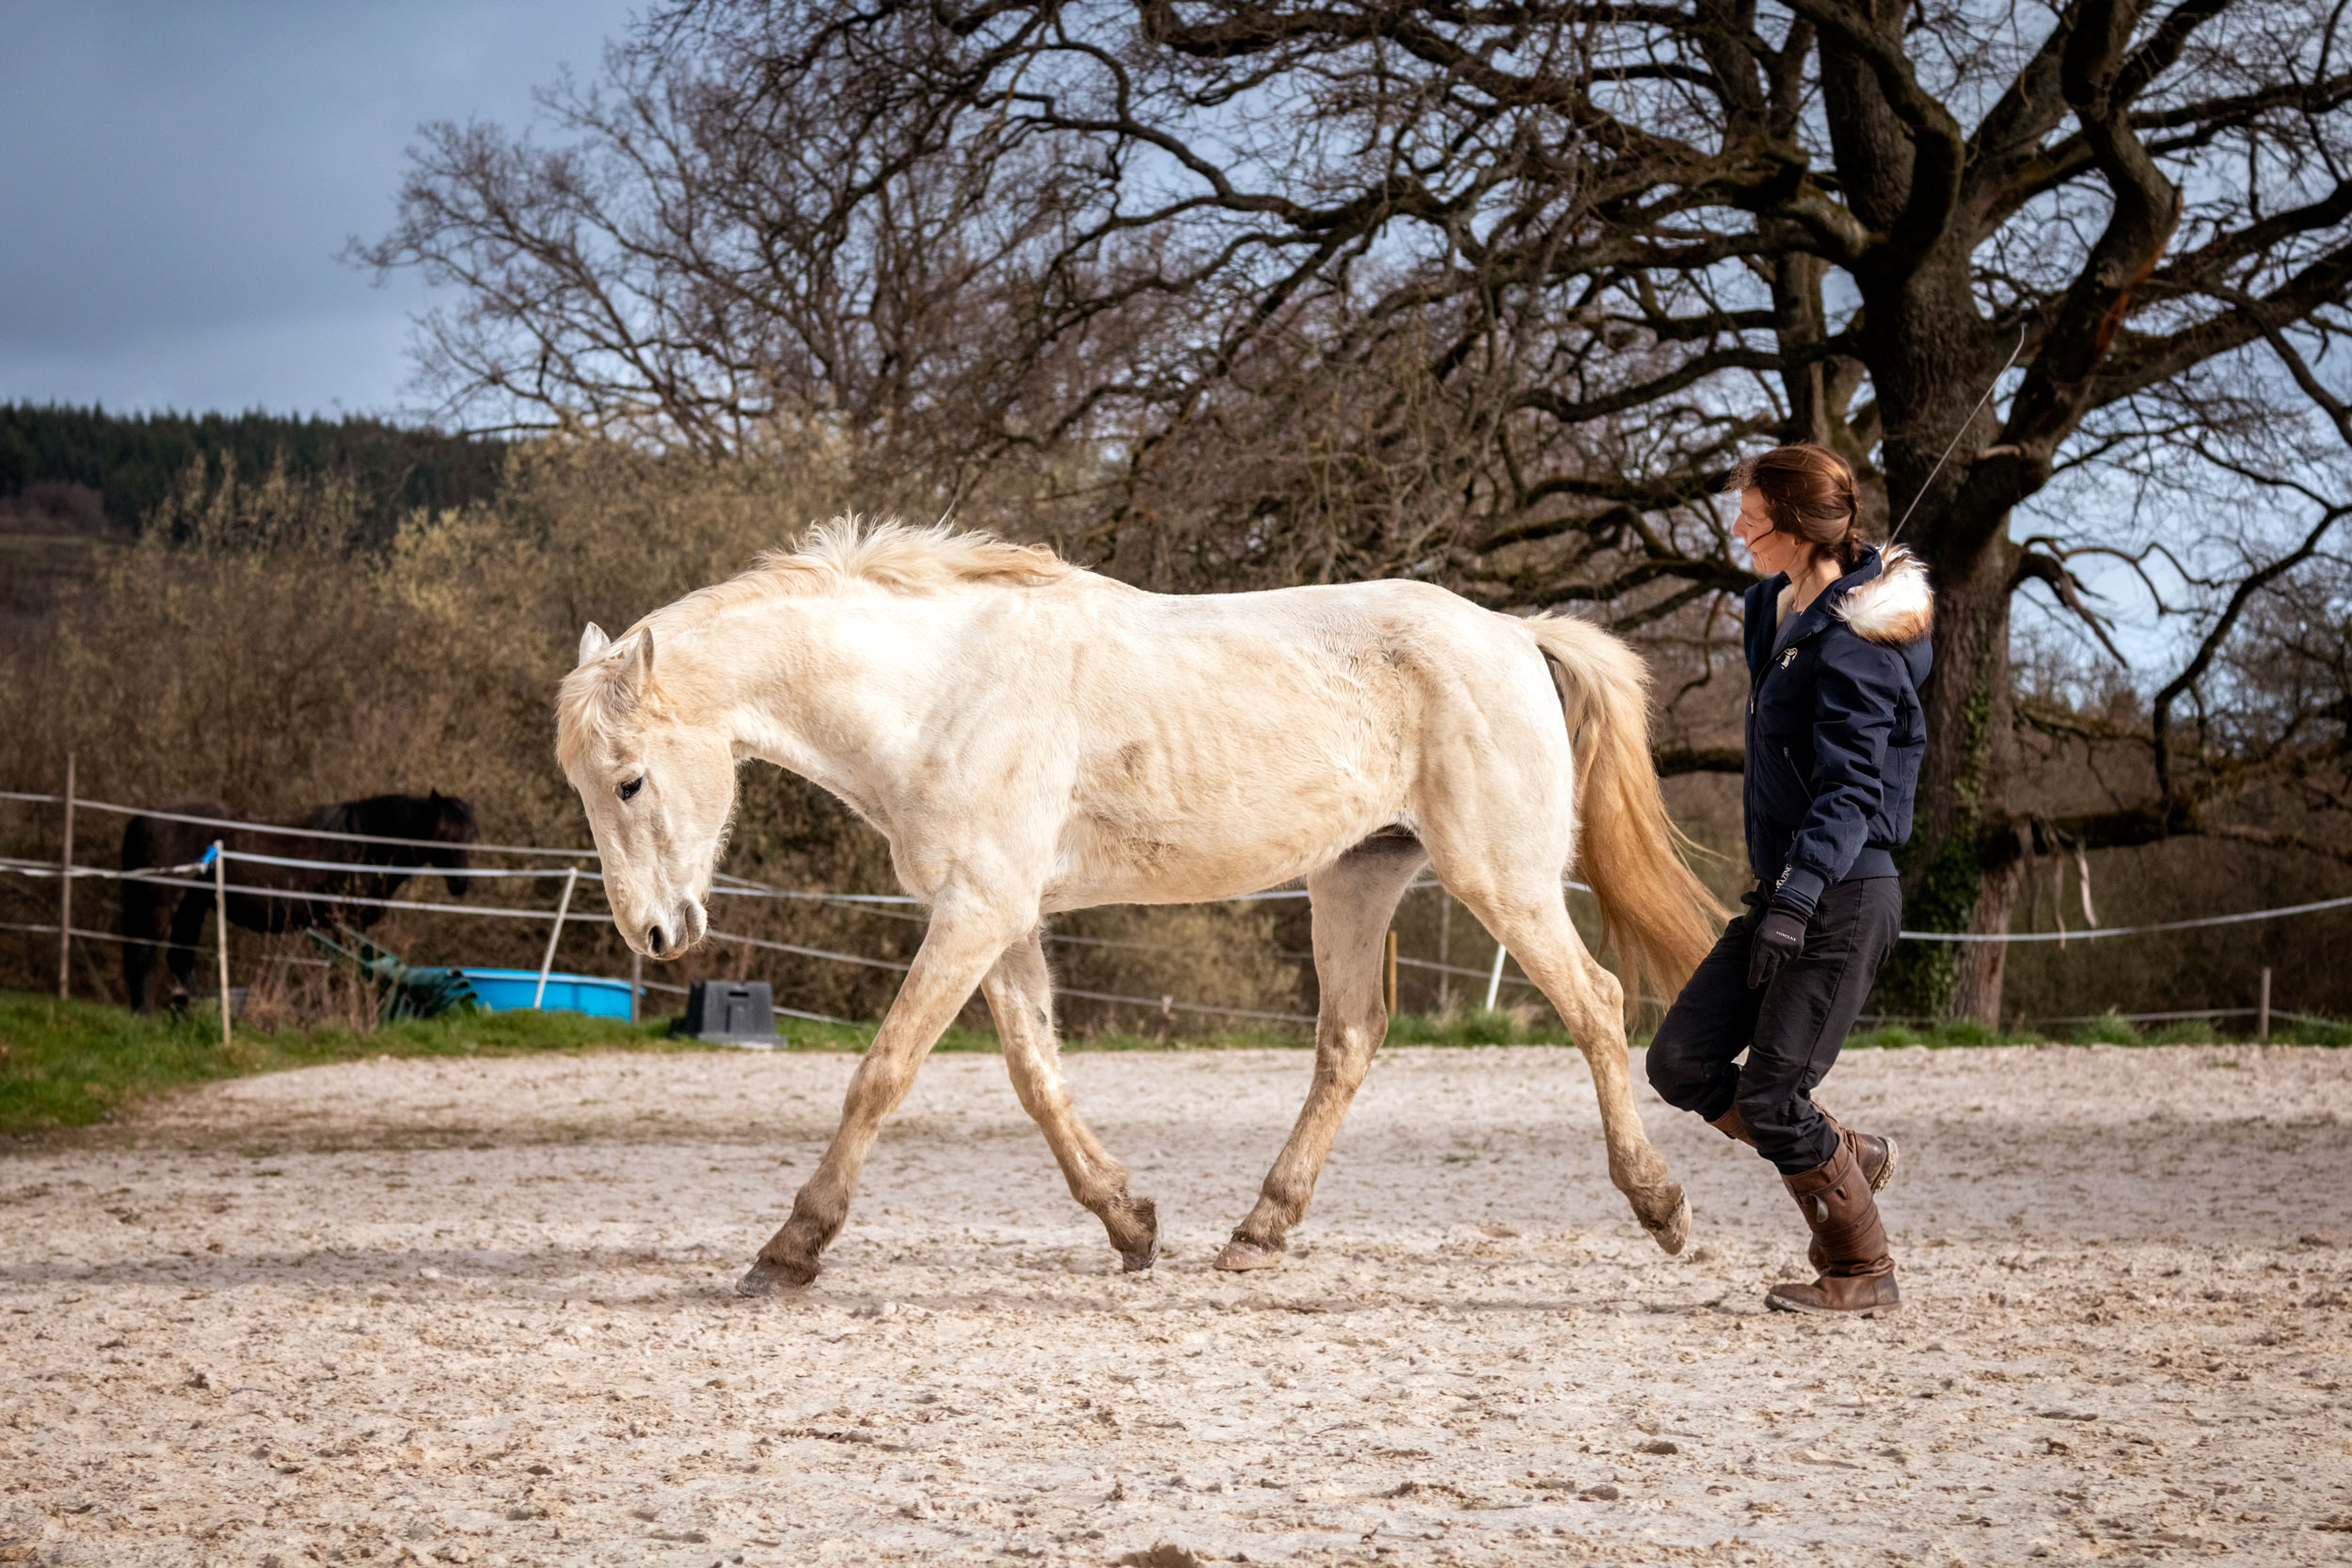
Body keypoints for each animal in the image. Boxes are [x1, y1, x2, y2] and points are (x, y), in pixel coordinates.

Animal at [118, 792, 478, 1012]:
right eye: (444, 835)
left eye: (470, 836)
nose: (461, 883)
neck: (359, 846)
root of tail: (141, 819)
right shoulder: (343, 922)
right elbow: (344, 970)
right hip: (160, 904)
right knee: (143, 955)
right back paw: (144, 1014)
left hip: (191, 906)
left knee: (179, 958)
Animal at [556, 519, 1724, 1296]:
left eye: (628, 781)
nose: (655, 934)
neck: (938, 688)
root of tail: (1514, 633)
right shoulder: (1002, 918)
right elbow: (1036, 1075)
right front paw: (1130, 1224)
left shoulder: (975, 911)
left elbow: (880, 1074)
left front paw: (788, 1248)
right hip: (1355, 877)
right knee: (1349, 1039)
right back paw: (1257, 1231)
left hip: (1499, 878)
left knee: (1595, 1003)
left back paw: (1661, 1208)